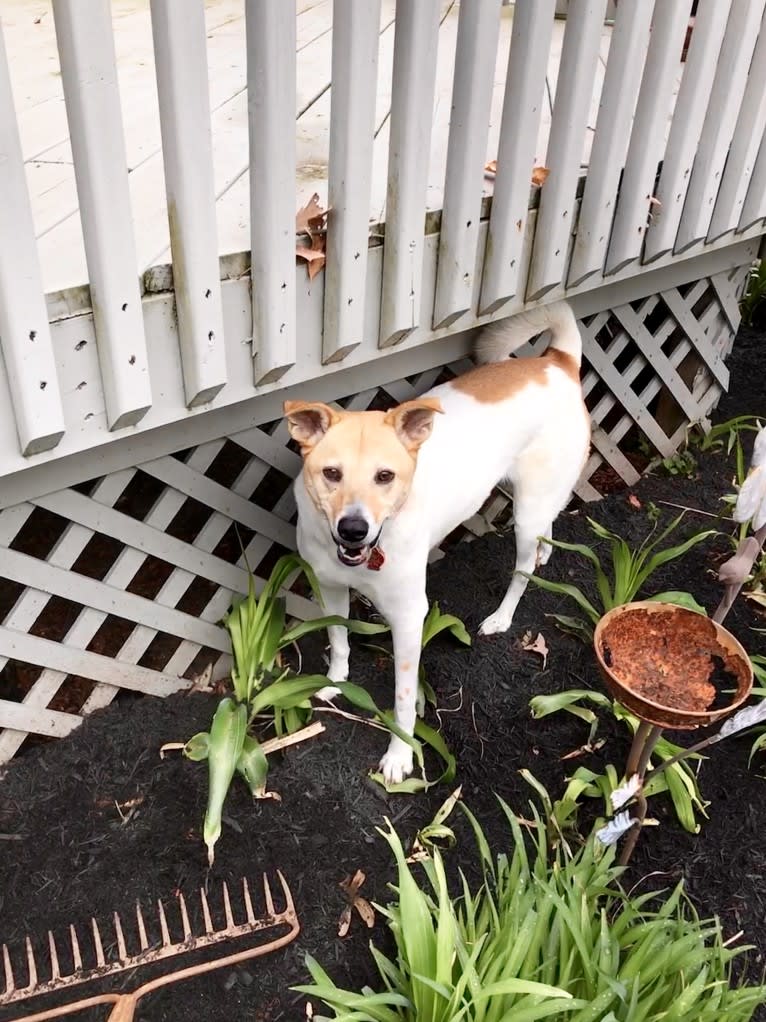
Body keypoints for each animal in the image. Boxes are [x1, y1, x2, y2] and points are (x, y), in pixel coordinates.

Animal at [285, 300, 592, 780]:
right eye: (331, 473)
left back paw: (501, 616)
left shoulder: (410, 619)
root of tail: (557, 361)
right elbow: (339, 640)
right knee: (549, 527)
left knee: (521, 569)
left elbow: (404, 699)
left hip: (524, 513)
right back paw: (545, 553)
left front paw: (399, 756)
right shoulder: (330, 589)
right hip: (538, 501)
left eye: (385, 476)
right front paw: (335, 683)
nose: (353, 529)